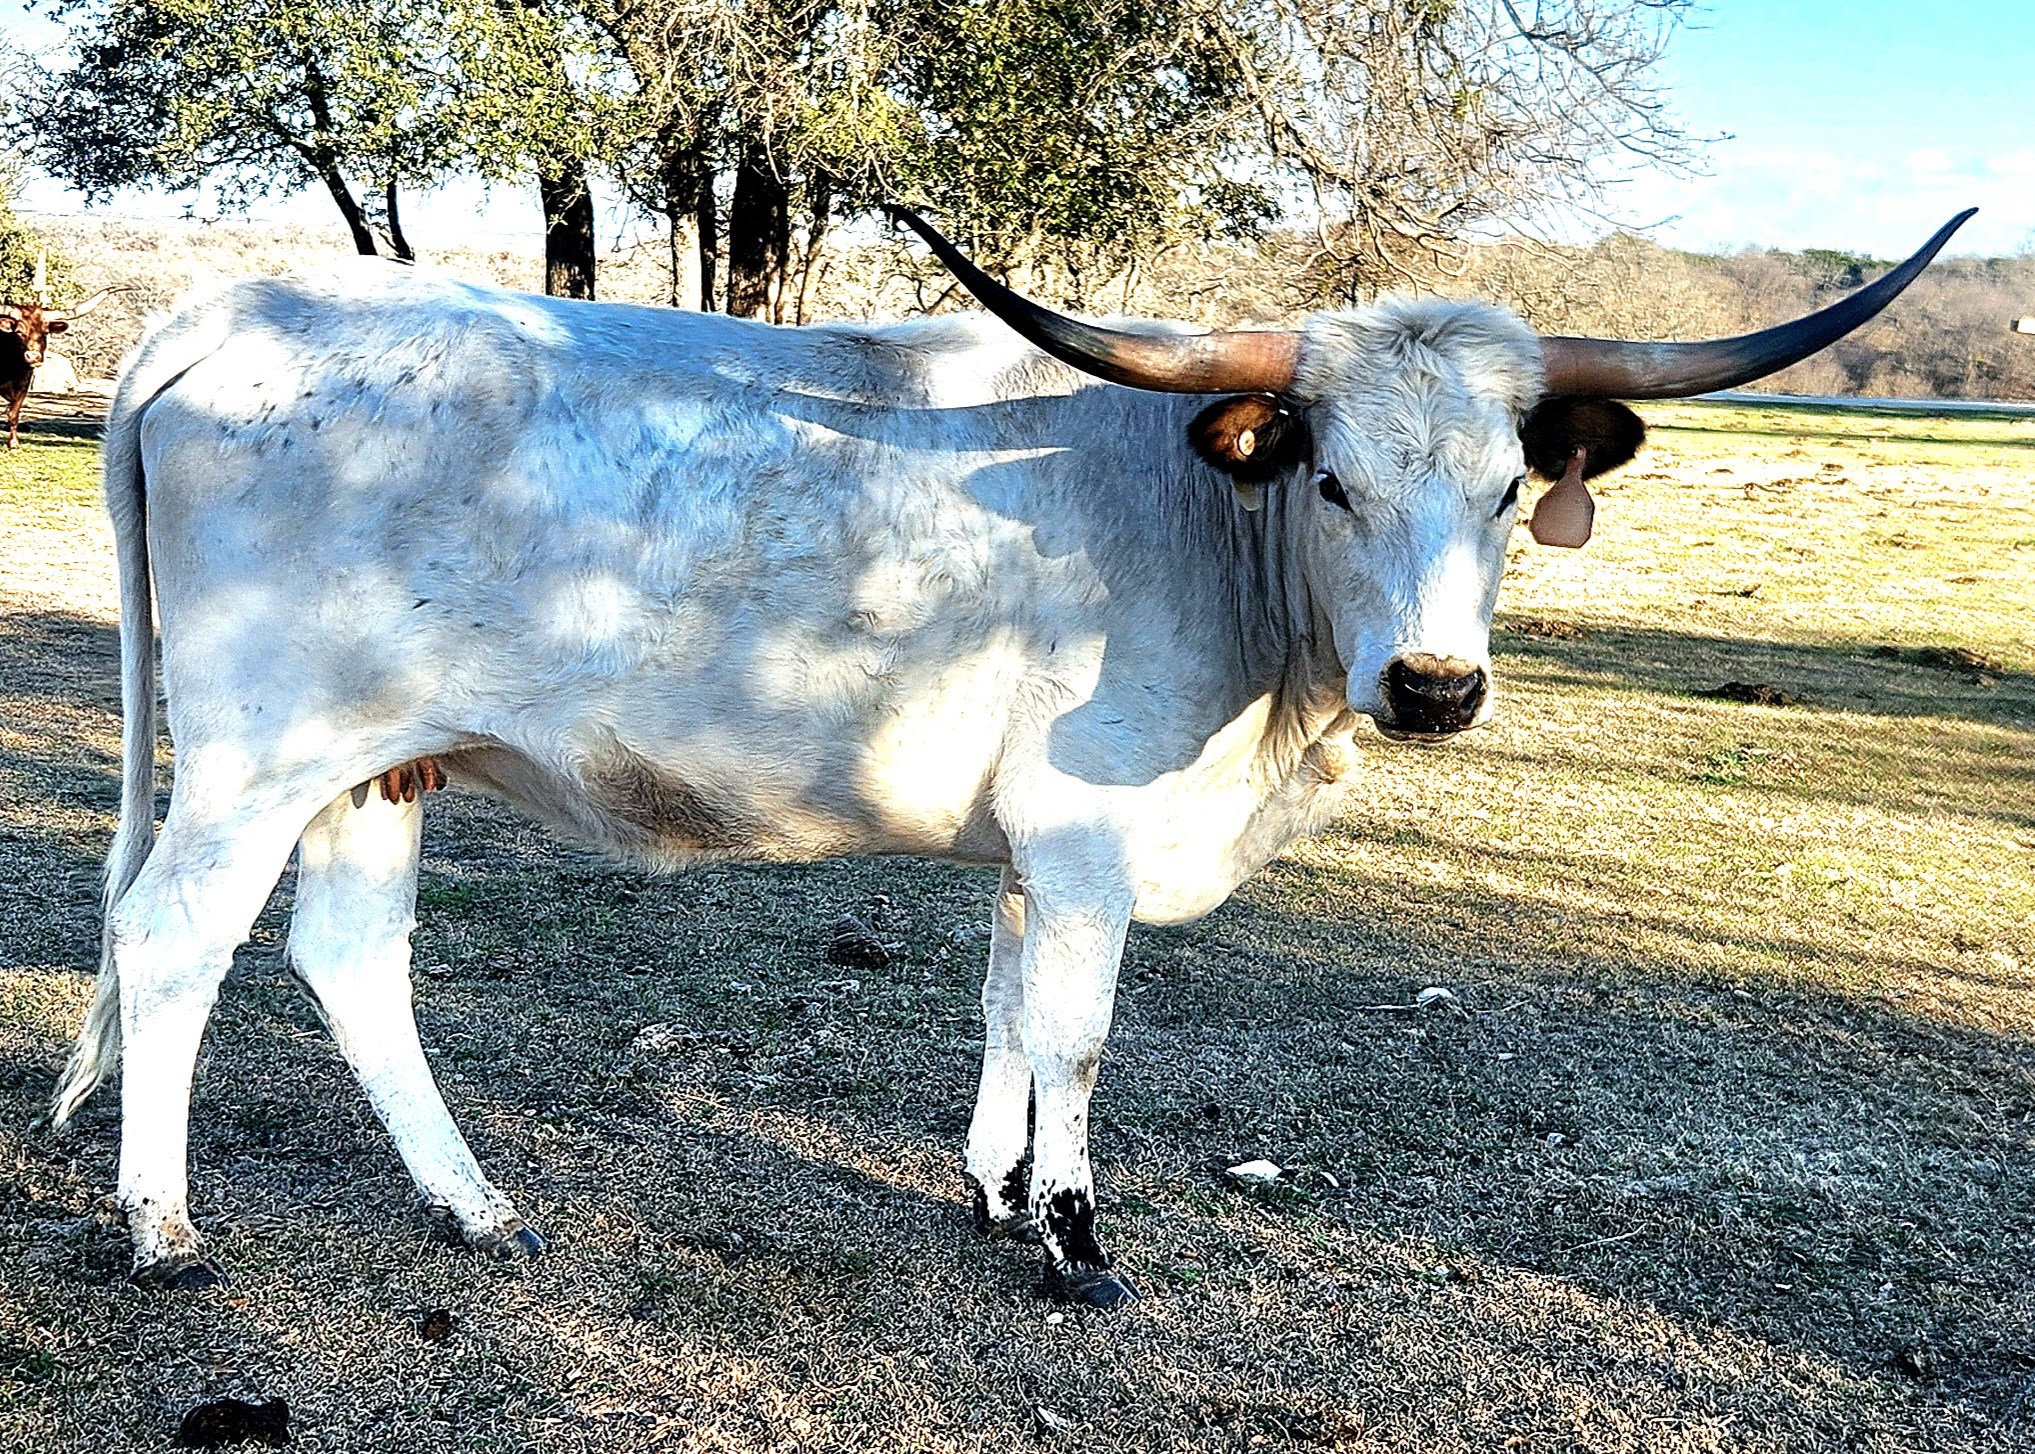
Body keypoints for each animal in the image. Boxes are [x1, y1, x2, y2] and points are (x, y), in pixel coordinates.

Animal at [0, 287, 117, 447]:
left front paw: (13, 444)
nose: (33, 357)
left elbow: (14, 413)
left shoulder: (23, 387)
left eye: (45, 332)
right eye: (18, 332)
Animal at [45, 207, 1971, 1305]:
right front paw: (1072, 1230)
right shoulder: (1096, 828)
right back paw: (160, 1226)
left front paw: (989, 1186)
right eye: (1333, 476)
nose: (1432, 685)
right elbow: (1080, 1026)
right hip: (253, 758)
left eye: (1509, 489)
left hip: (379, 764)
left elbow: (999, 991)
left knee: (348, 954)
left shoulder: (1034, 843)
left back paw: (474, 1205)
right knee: (170, 937)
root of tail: (237, 306)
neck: (1208, 520)